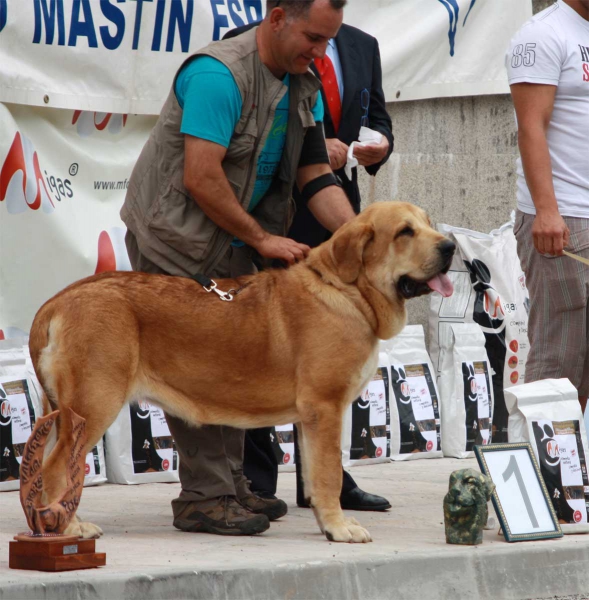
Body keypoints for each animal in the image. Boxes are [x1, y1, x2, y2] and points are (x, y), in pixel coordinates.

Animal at [28, 202, 454, 544]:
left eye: (428, 224)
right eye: (404, 232)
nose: (450, 246)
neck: (347, 290)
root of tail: (56, 301)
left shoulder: (310, 419)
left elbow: (315, 476)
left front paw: (326, 523)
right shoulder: (326, 408)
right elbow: (331, 474)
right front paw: (339, 528)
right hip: (93, 405)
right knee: (56, 469)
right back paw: (68, 528)